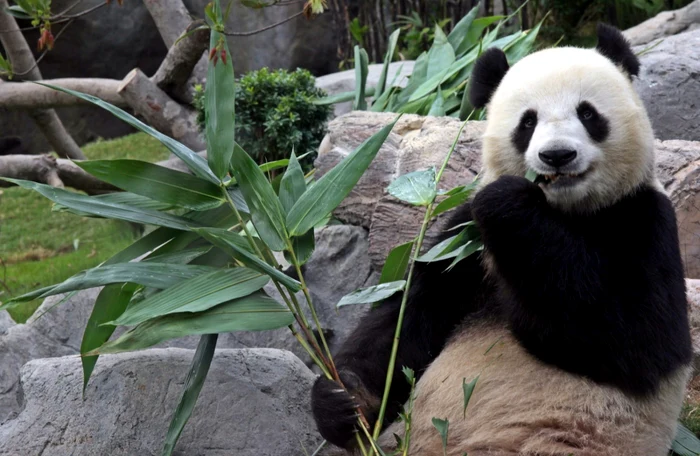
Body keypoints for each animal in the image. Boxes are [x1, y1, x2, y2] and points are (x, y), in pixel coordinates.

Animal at [308, 24, 692, 456]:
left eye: (588, 113)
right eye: (527, 122)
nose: (557, 155)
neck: (563, 212)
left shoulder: (643, 219)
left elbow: (637, 338)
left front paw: (508, 203)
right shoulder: (462, 243)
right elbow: (407, 321)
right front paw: (343, 401)